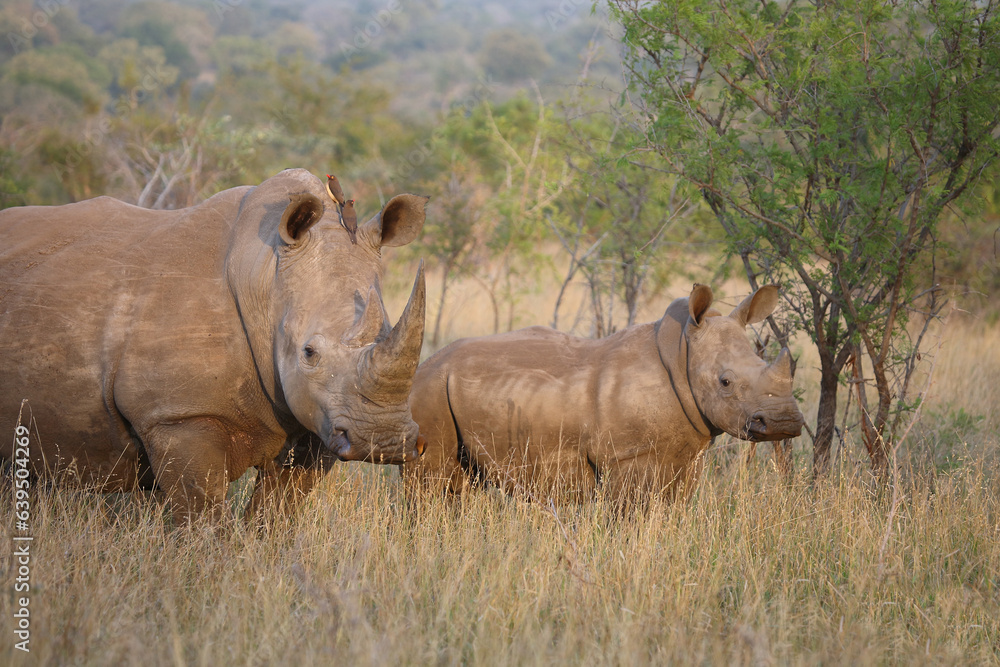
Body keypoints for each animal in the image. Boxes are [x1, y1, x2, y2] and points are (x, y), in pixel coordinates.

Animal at [0, 169, 428, 520]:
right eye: (309, 353)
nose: (384, 441)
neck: (266, 278)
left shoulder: (315, 418)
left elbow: (279, 510)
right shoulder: (179, 416)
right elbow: (203, 516)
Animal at [403, 284, 804, 501]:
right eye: (725, 382)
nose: (785, 423)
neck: (682, 354)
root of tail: (425, 365)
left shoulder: (687, 455)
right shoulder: (626, 457)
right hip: (429, 389)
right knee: (433, 481)